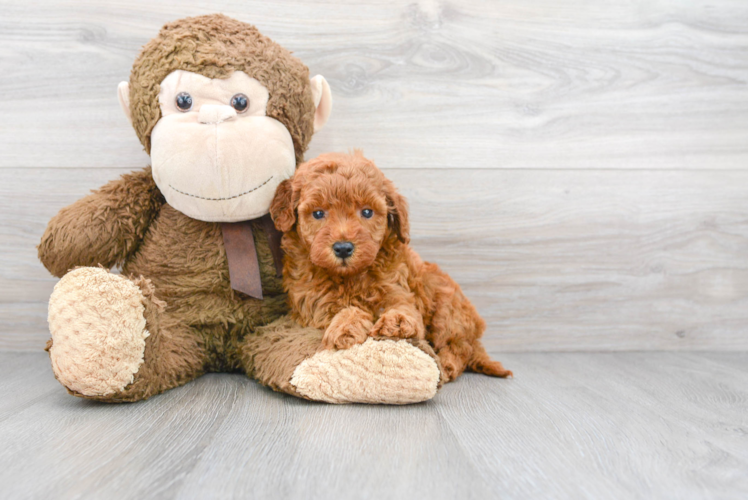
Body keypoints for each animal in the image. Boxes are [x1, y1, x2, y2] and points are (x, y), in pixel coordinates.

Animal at [272, 150, 512, 380]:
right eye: (318, 213)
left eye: (367, 212)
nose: (343, 248)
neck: (352, 277)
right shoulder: (314, 306)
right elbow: (346, 310)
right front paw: (346, 326)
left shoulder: (399, 290)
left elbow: (404, 309)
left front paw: (396, 321)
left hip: (447, 306)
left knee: (460, 346)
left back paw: (447, 364)